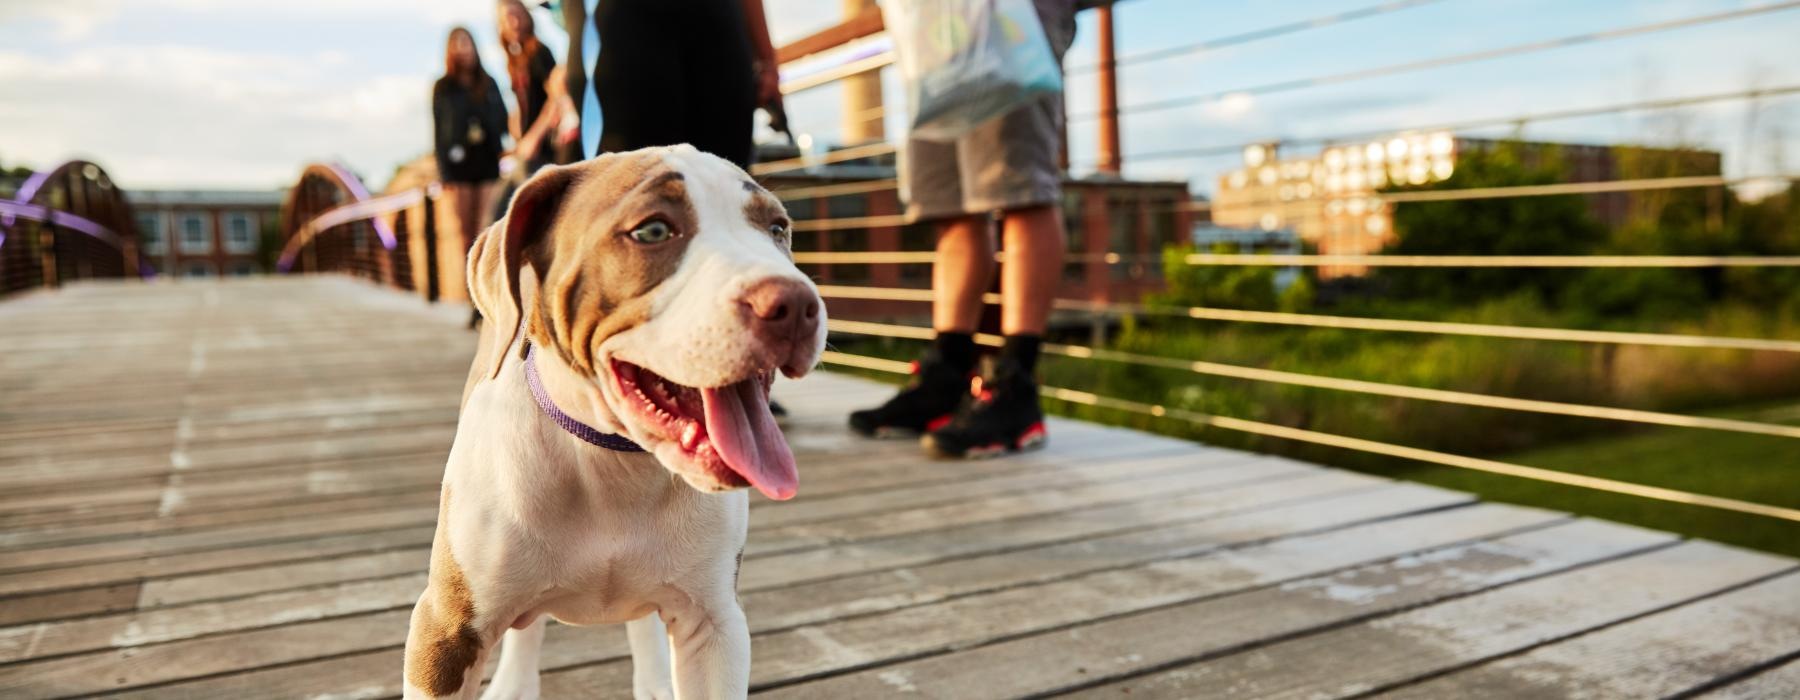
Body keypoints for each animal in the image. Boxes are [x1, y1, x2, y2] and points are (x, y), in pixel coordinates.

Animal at [401, 144, 824, 694]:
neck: (612, 460)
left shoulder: (715, 625)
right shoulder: (445, 632)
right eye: (653, 231)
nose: (795, 303)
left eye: (777, 229)